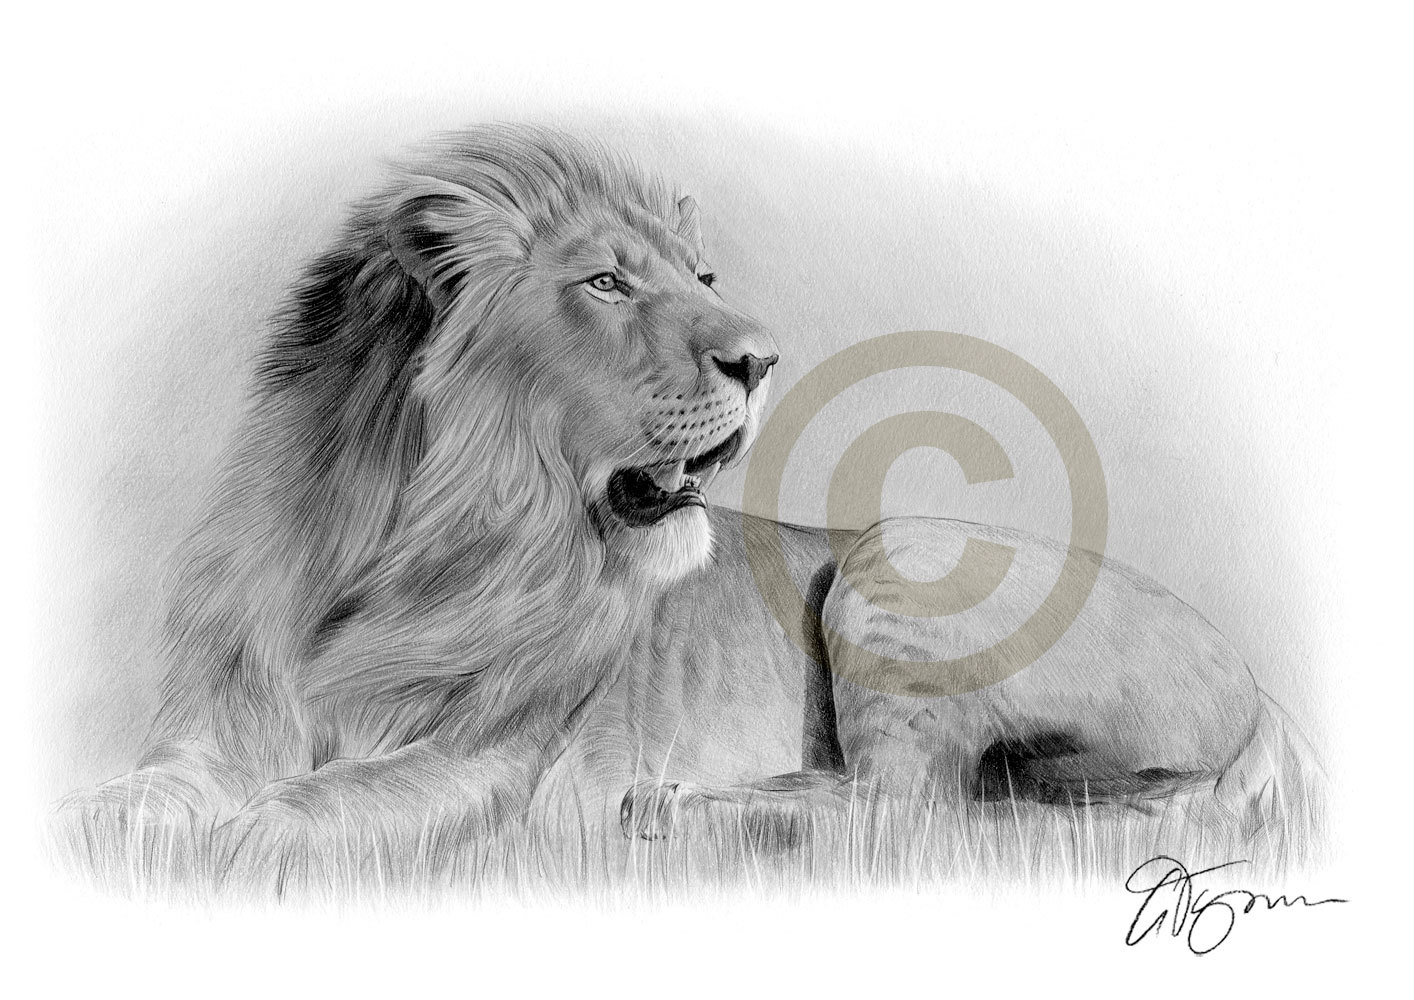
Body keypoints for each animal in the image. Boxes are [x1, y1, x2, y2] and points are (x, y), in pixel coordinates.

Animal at [58, 124, 1320, 885]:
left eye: (700, 278)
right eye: (609, 282)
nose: (762, 359)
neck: (399, 547)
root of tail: (1263, 696)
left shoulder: (490, 759)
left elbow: (308, 809)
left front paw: (239, 841)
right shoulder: (215, 732)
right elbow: (128, 803)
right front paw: (124, 828)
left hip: (898, 555)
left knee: (905, 813)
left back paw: (683, 811)